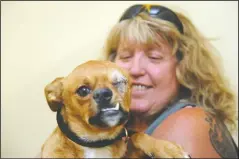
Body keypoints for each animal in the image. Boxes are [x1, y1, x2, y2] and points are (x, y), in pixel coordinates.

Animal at [41, 60, 190, 158]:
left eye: (119, 82)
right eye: (83, 90)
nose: (104, 94)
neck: (98, 141)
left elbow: (137, 135)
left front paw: (168, 149)